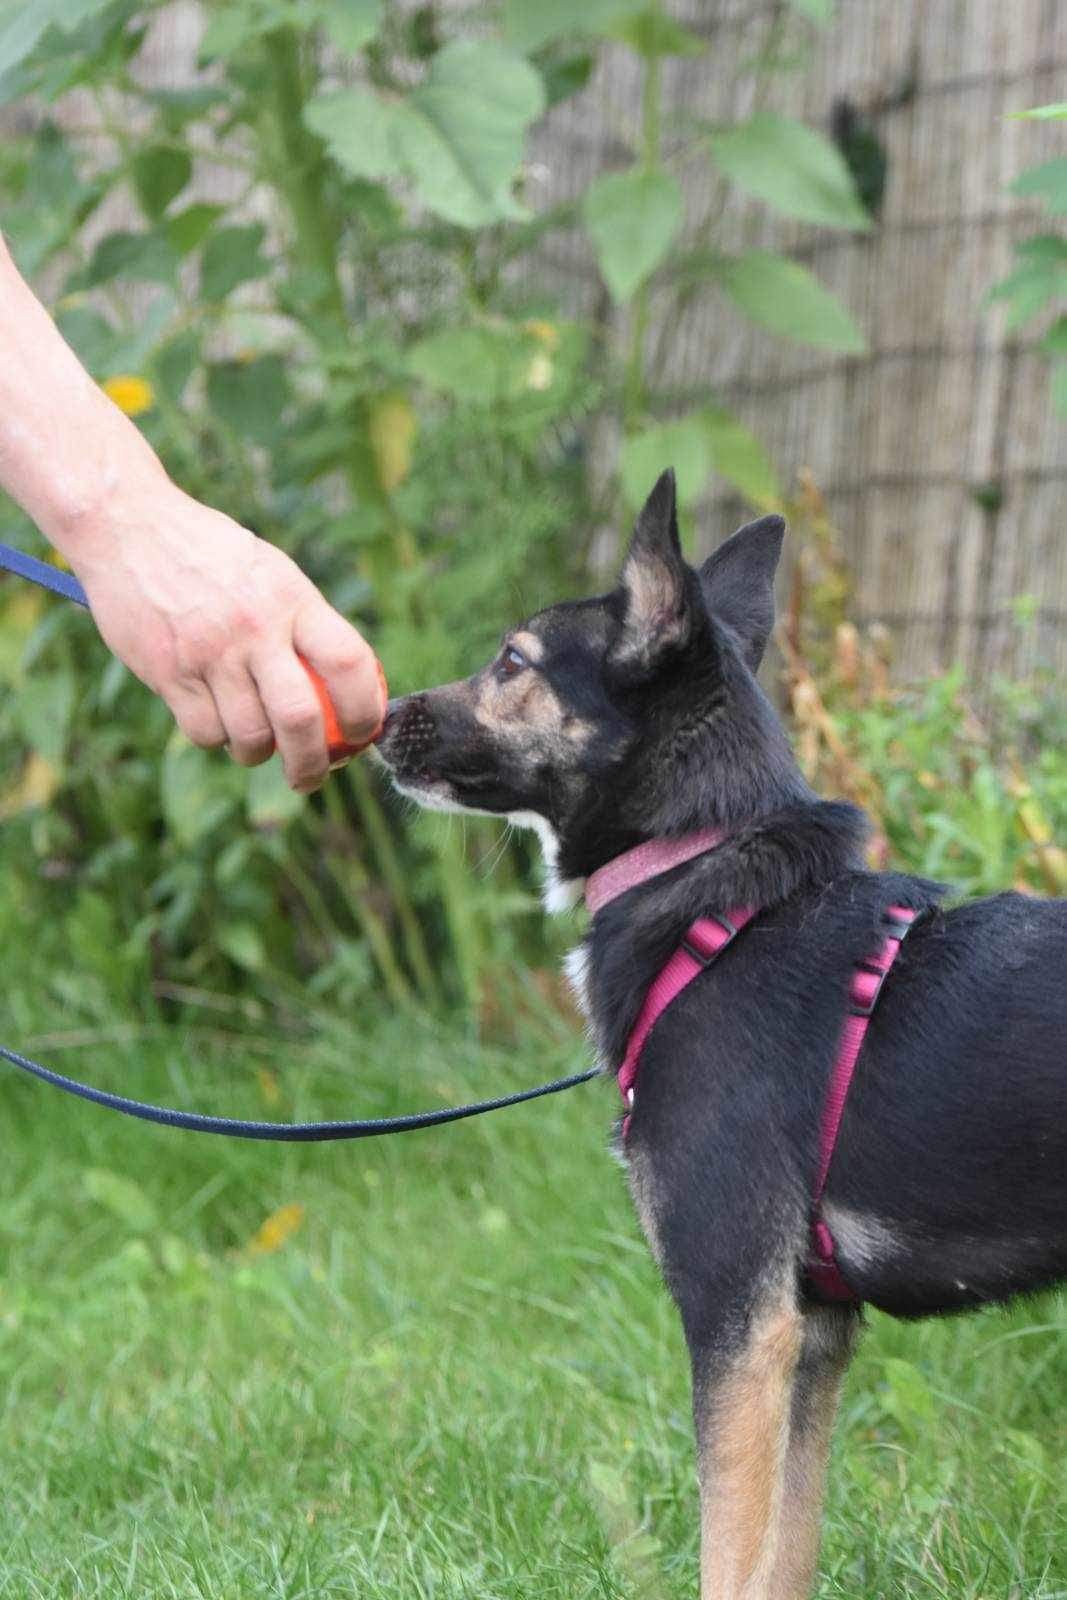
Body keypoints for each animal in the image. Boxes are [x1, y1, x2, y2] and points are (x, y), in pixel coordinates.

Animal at [374, 467, 1062, 1593]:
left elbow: (726, 1555)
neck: (709, 899)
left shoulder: (738, 1322)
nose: (382, 713)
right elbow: (781, 1553)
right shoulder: (813, 1336)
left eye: (512, 660)